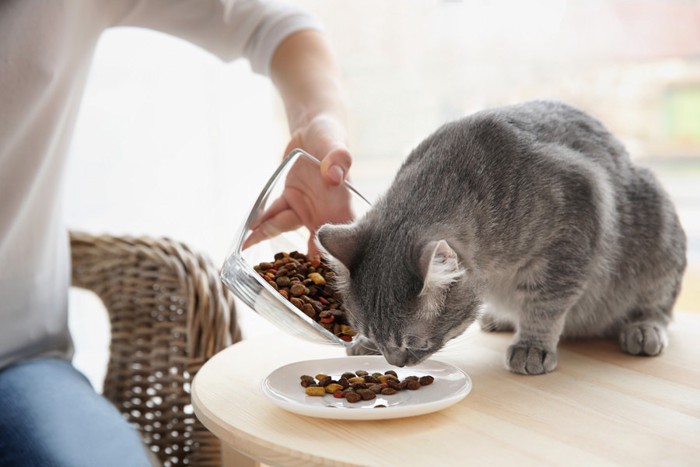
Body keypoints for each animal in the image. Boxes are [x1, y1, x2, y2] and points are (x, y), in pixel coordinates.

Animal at [314, 100, 688, 374]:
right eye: (371, 332)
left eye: (413, 343)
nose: (395, 363)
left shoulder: (575, 228)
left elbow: (546, 304)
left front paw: (532, 345)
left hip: (660, 236)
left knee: (658, 307)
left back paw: (644, 328)